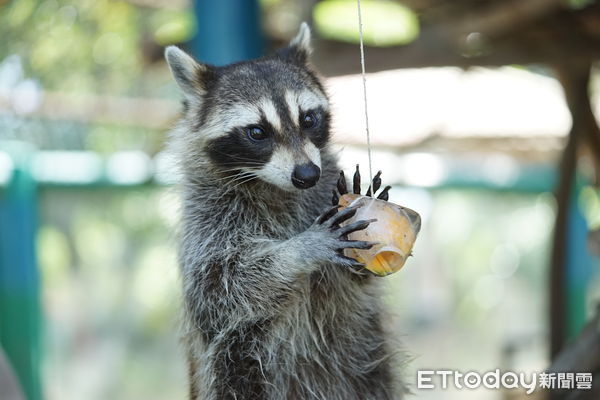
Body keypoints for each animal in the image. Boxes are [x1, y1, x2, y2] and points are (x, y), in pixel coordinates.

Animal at [166, 23, 406, 398]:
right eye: (257, 132)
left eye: (308, 119)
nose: (307, 175)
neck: (277, 187)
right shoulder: (204, 219)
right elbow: (218, 289)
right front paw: (302, 249)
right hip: (236, 365)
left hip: (367, 356)